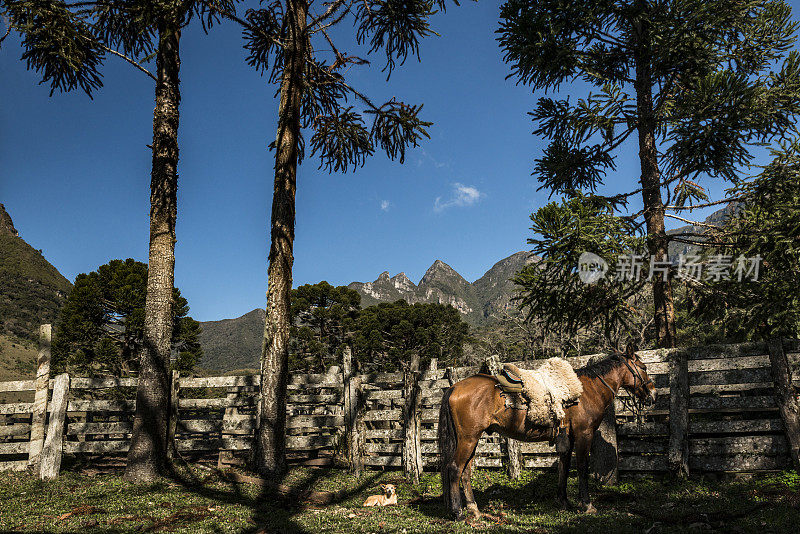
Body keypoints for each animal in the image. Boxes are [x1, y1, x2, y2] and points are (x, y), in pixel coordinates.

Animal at [438, 346, 656, 520]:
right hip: (468, 438)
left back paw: (474, 510)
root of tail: (454, 387)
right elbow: (582, 467)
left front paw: (564, 502)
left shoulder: (568, 437)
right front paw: (587, 504)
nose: (652, 393)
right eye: (644, 368)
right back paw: (458, 512)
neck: (588, 391)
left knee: (466, 472)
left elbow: (564, 468)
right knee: (455, 468)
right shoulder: (584, 434)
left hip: (471, 440)